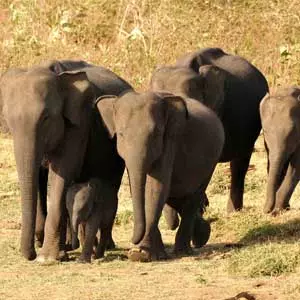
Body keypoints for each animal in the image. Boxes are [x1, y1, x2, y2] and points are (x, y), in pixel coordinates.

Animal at [0, 59, 132, 262]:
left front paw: (48, 258)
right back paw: (70, 246)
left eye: (46, 117)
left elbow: (63, 171)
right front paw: (51, 249)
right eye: (8, 121)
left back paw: (102, 246)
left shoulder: (79, 122)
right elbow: (39, 176)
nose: (30, 255)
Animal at [97, 90, 224, 262]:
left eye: (156, 134)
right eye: (121, 135)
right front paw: (151, 254)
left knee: (193, 196)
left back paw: (185, 250)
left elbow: (157, 188)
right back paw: (201, 235)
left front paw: (140, 253)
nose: (132, 242)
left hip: (212, 160)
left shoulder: (170, 141)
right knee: (176, 197)